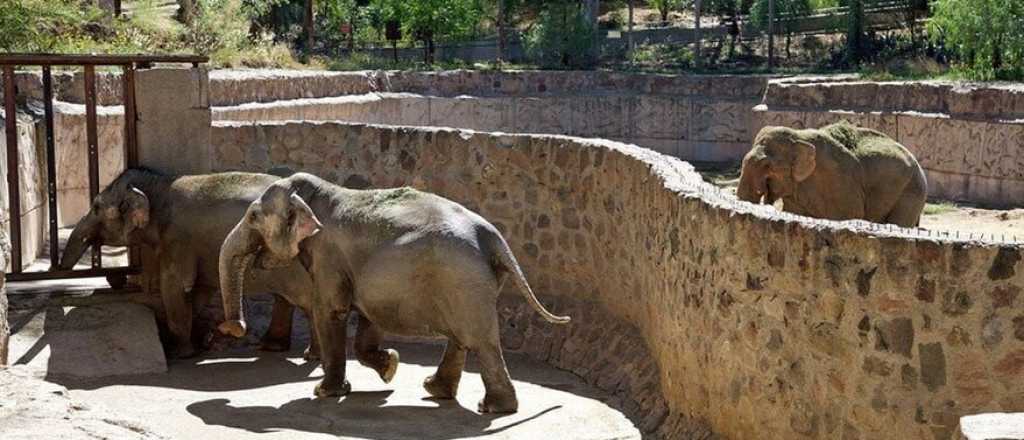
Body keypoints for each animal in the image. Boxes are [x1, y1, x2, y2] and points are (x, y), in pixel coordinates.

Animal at [219, 171, 573, 413]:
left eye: (253, 216)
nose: (234, 328)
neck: (315, 192)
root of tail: (492, 235)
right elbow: (368, 316)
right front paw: (390, 367)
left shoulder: (329, 257)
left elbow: (331, 311)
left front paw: (324, 392)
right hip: (471, 282)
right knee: (463, 337)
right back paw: (436, 390)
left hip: (462, 281)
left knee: (479, 340)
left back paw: (492, 408)